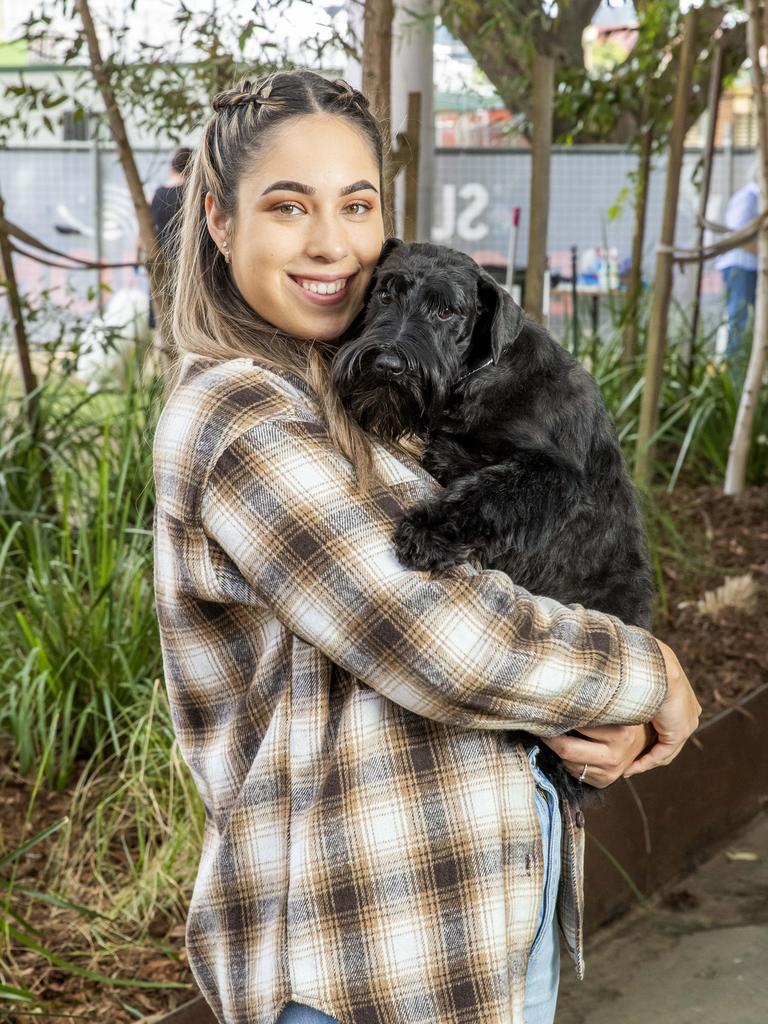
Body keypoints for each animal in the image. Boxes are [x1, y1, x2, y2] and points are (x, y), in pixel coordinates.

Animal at [331, 241, 655, 806]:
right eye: (384, 292)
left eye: (447, 312)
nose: (387, 364)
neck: (479, 376)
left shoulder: (552, 475)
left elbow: (489, 492)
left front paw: (427, 531)